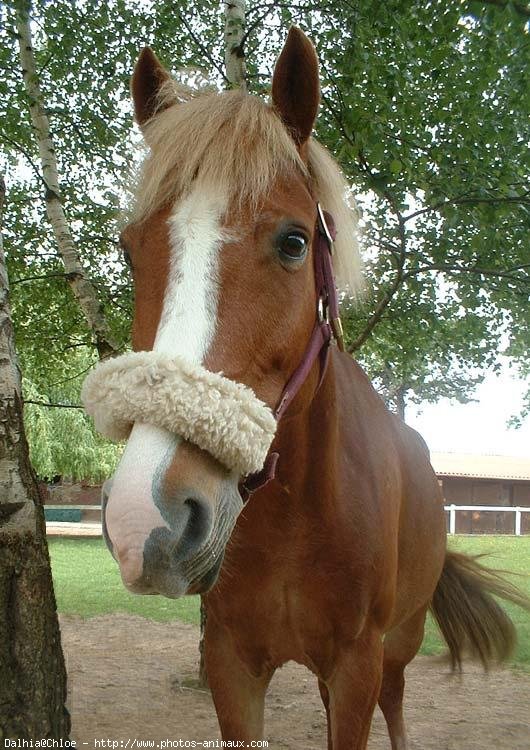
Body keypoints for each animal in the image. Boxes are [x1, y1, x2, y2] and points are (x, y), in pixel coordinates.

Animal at [82, 27, 524, 750]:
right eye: (128, 249)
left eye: (294, 242)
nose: (144, 517)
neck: (296, 516)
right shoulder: (232, 663)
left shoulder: (357, 664)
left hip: (400, 646)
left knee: (397, 703)